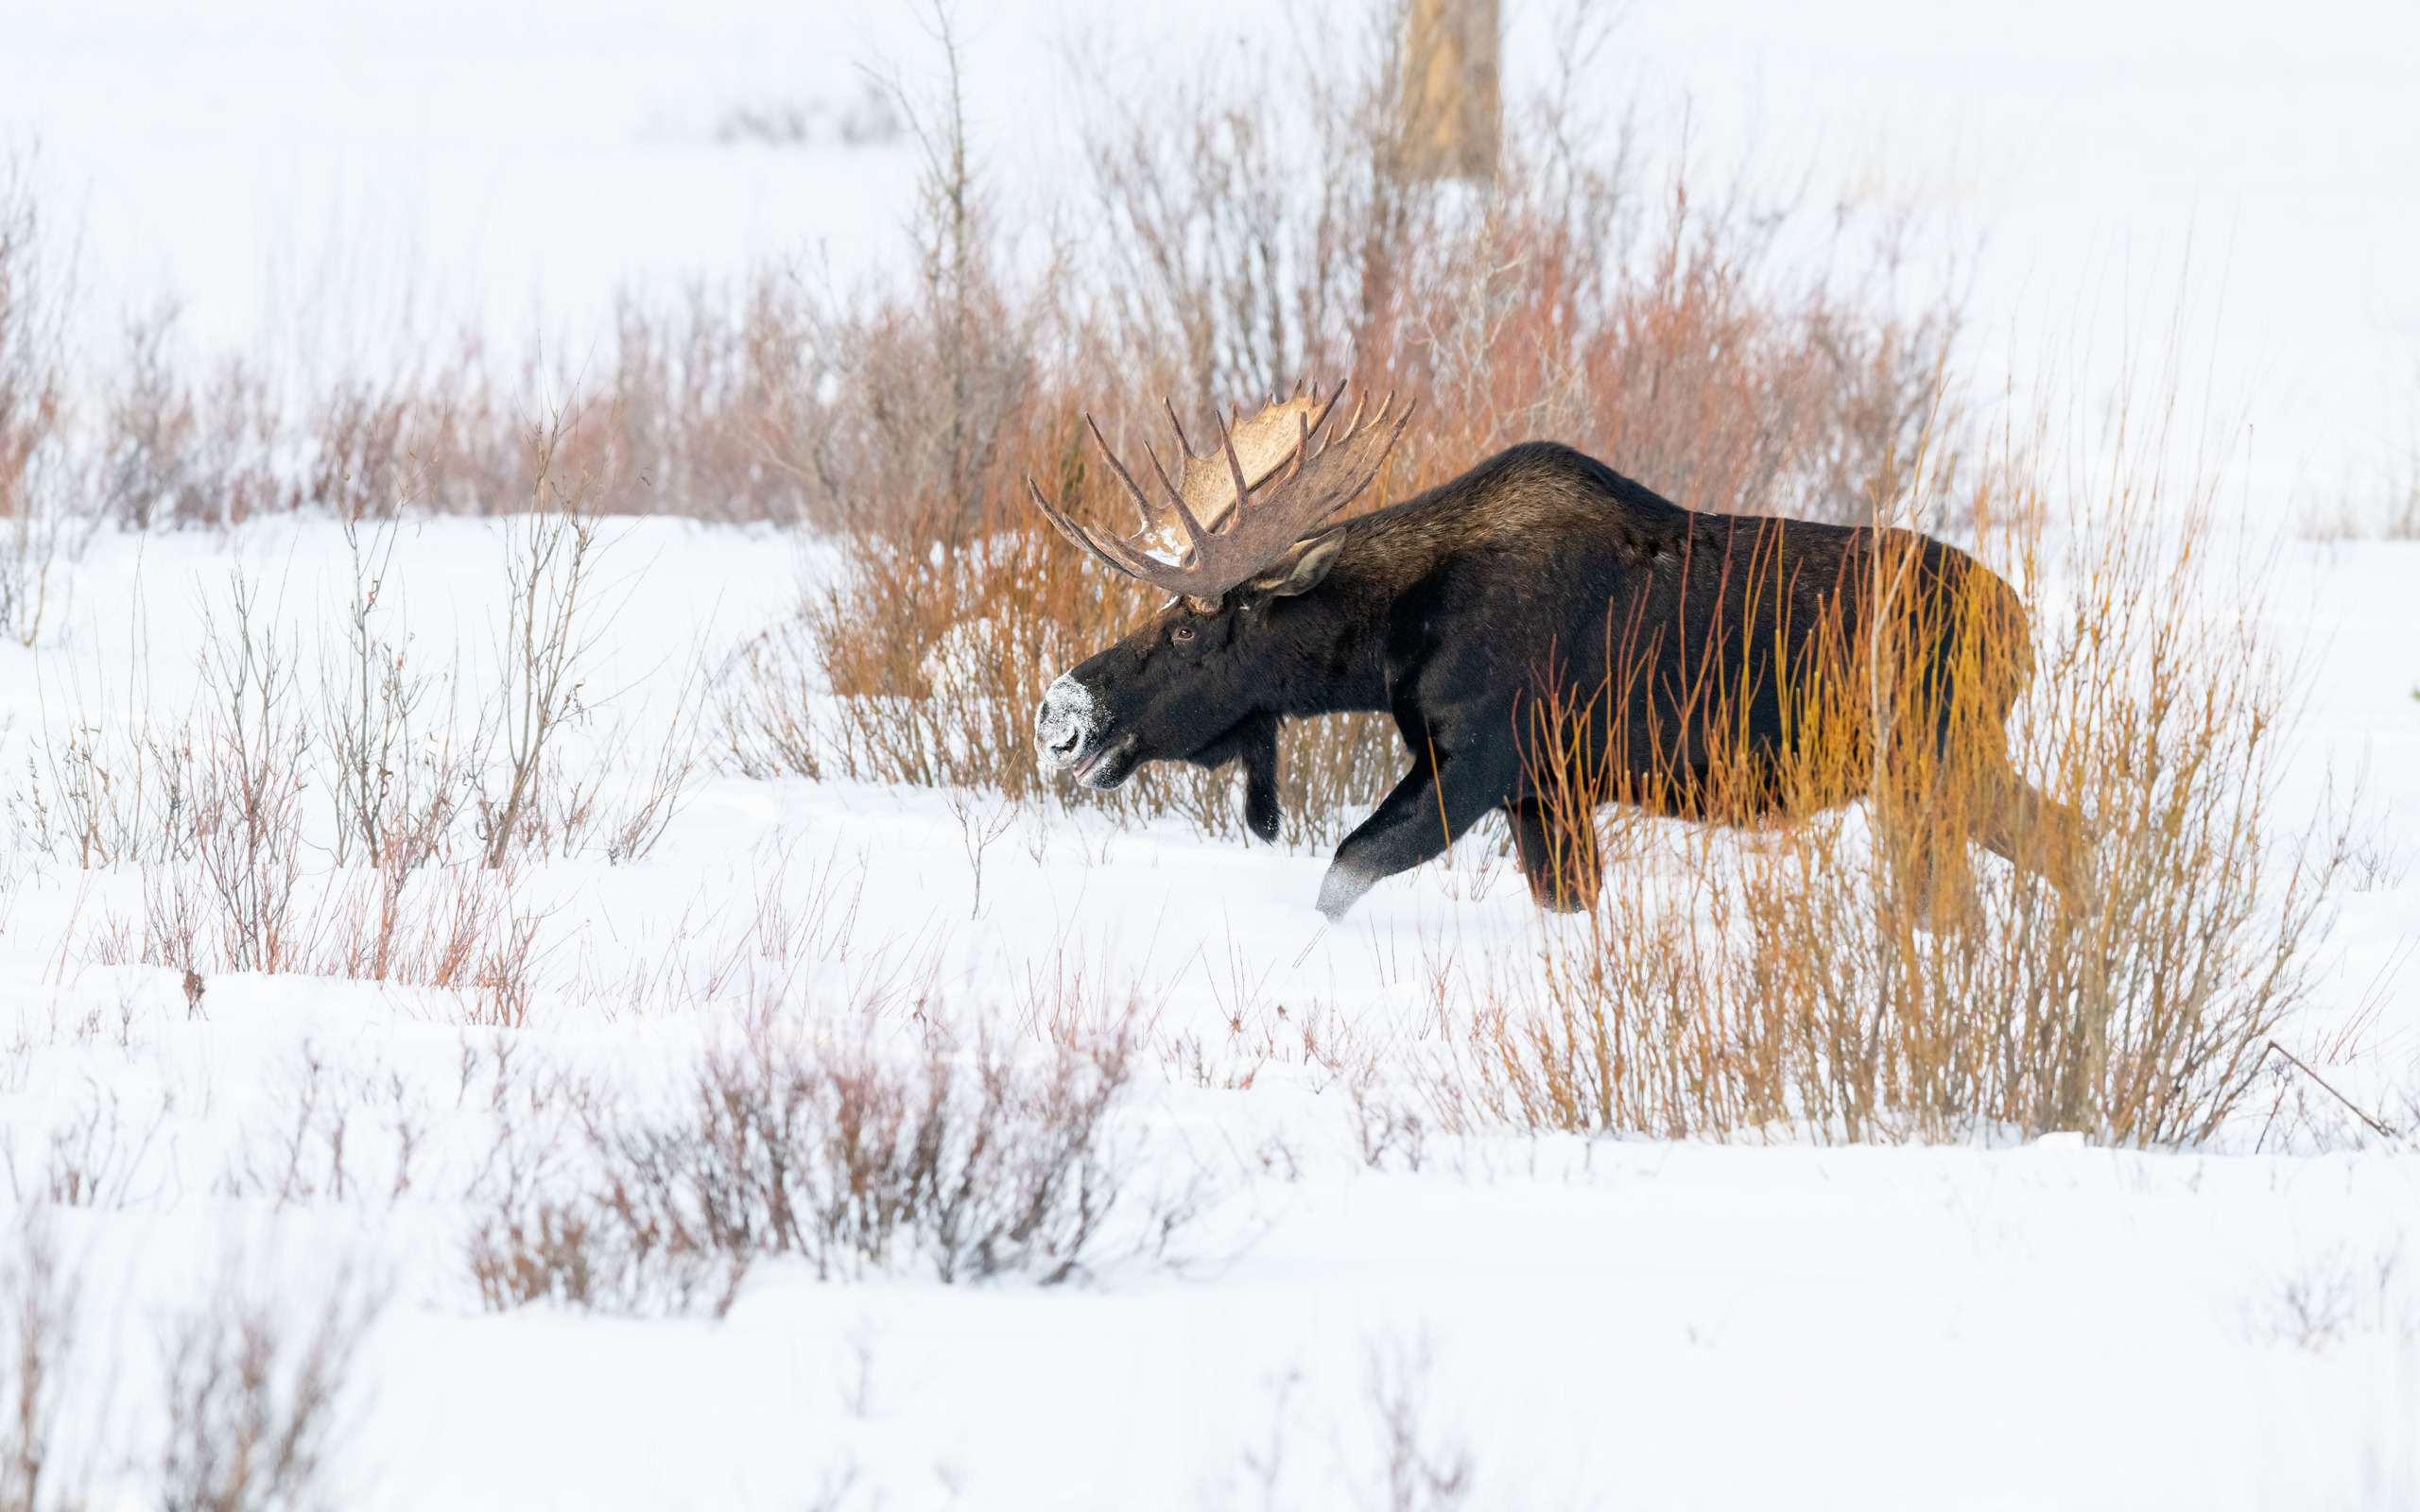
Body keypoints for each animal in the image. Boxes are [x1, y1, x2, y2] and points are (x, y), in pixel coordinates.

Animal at [1030, 379, 2090, 919]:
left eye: (1188, 629)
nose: (1059, 714)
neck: (1388, 644)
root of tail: (2022, 631)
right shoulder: (1548, 792)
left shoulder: (1479, 761)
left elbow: (1344, 869)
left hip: (1932, 764)